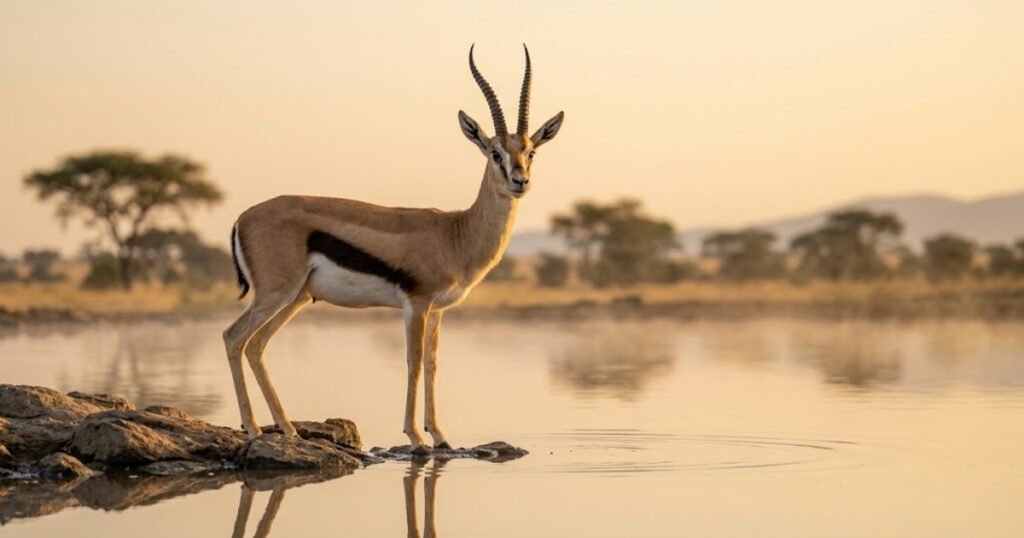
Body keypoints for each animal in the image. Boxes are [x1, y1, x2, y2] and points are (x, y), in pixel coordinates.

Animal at [223, 45, 564, 453]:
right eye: (494, 152)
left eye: (531, 152)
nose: (519, 181)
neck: (455, 234)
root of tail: (243, 218)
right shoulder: (416, 303)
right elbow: (413, 361)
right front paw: (416, 435)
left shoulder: (437, 310)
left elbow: (432, 363)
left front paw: (440, 435)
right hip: (276, 293)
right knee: (234, 338)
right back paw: (254, 429)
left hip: (297, 298)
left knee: (256, 346)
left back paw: (287, 429)